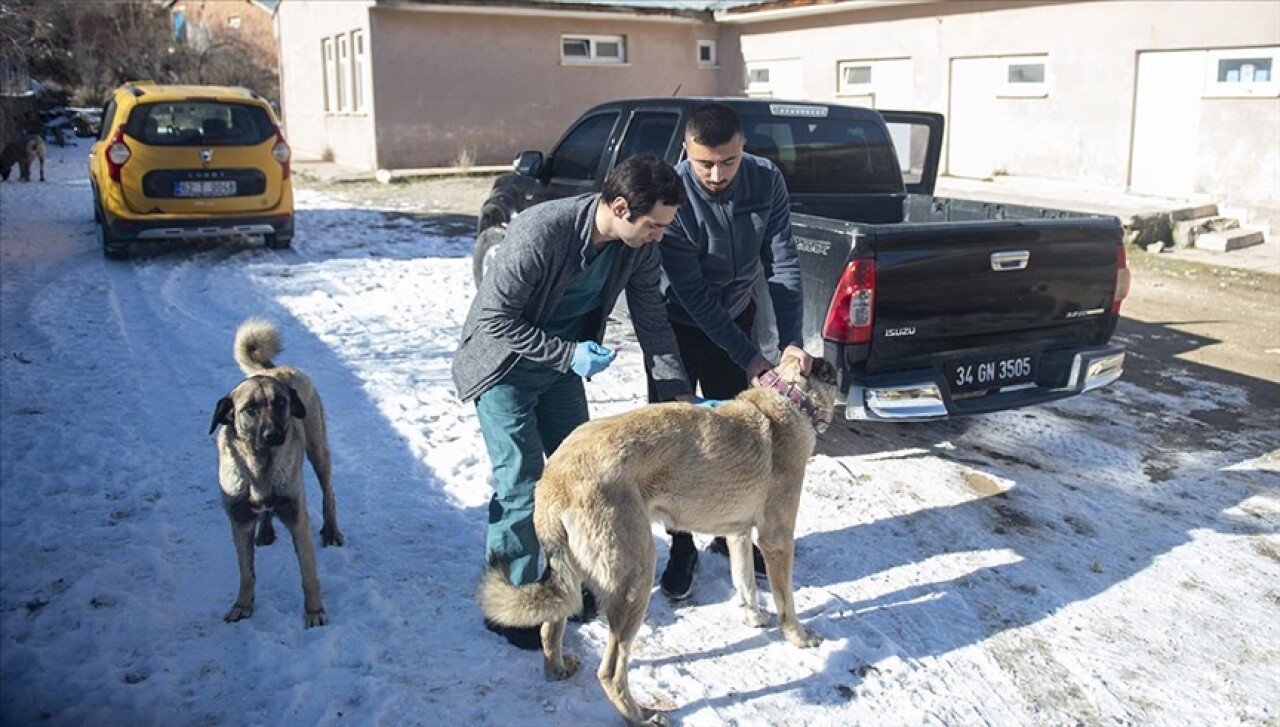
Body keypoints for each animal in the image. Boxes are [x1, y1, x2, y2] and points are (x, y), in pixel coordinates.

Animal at [212, 321, 348, 627]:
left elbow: (309, 575)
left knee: (329, 494)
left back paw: (331, 531)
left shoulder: (297, 517)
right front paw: (242, 606)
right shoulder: (239, 522)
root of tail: (279, 368)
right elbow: (247, 574)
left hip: (318, 451)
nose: (273, 434)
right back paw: (265, 531)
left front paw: (314, 612)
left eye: (280, 403)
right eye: (249, 409)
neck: (260, 466)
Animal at [481, 355, 839, 721]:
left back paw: (558, 669)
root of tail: (555, 477)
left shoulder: (738, 533)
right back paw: (640, 716)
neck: (789, 399)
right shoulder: (776, 539)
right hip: (636, 579)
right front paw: (798, 636)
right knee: (610, 671)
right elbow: (786, 601)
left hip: (577, 572)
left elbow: (745, 582)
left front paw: (752, 617)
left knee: (549, 628)